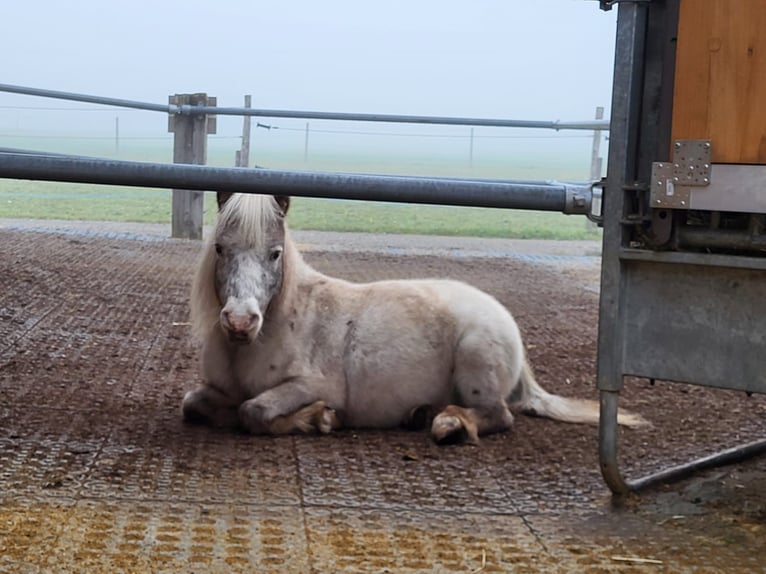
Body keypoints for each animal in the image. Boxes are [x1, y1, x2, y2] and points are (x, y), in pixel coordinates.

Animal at [182, 192, 648, 444]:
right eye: (220, 248)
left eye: (275, 253)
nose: (240, 322)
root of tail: (501, 315)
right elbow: (194, 404)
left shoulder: (312, 385)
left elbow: (254, 411)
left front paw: (320, 419)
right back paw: (421, 414)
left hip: (477, 362)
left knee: (499, 415)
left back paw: (447, 424)